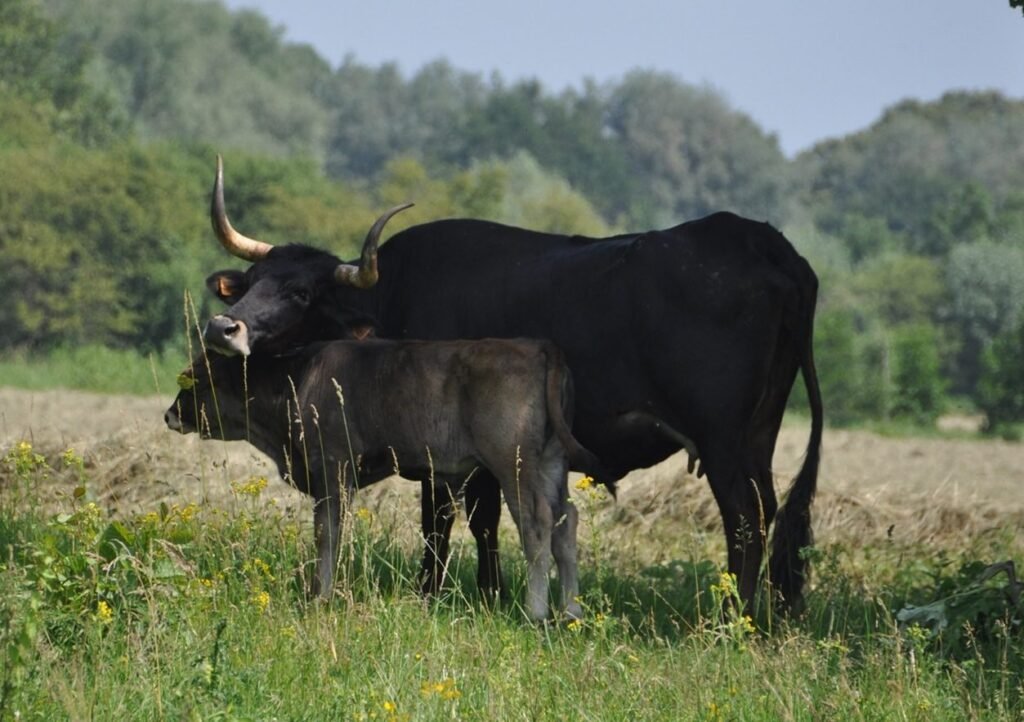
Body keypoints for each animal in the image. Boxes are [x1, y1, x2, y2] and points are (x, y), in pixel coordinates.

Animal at [164, 337, 604, 621]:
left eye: (192, 379)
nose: (169, 414)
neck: (296, 380)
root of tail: (539, 347)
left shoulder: (332, 468)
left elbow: (327, 533)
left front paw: (319, 596)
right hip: (550, 463)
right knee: (566, 522)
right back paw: (571, 611)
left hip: (514, 464)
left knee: (537, 523)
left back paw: (536, 611)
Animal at [201, 156, 824, 614]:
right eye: (251, 282)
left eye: (301, 293)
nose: (222, 327)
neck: (396, 295)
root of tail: (760, 241)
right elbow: (484, 522)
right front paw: (489, 592)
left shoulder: (442, 448)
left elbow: (441, 521)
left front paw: (437, 594)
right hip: (758, 434)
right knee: (767, 512)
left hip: (722, 441)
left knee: (745, 518)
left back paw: (731, 617)